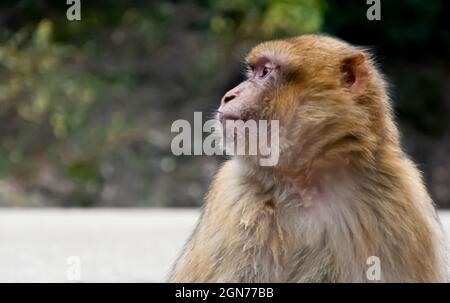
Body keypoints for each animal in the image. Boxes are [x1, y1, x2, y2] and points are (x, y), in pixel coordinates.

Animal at [168, 35, 446, 282]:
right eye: (253, 71)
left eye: (264, 72)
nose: (229, 95)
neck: (306, 185)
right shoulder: (233, 195)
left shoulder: (402, 199)